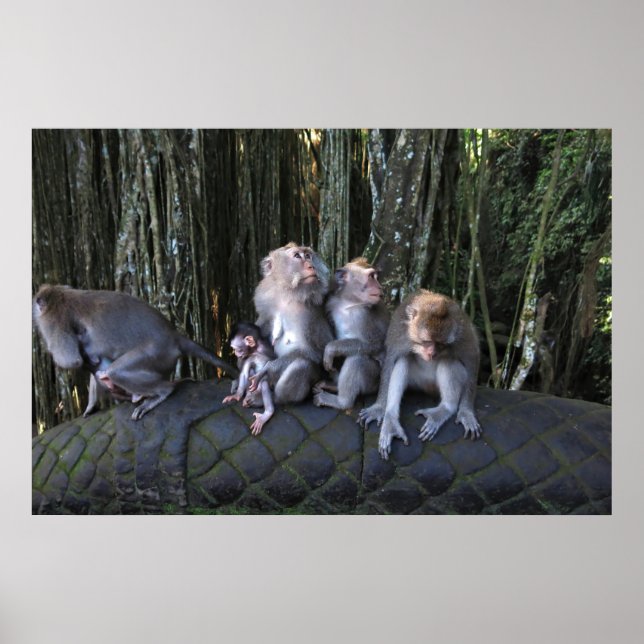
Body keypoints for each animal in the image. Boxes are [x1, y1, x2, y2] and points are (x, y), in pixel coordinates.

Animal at [33, 284, 238, 420]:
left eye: (38, 303)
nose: (34, 308)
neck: (60, 293)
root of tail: (174, 336)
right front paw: (90, 406)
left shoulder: (54, 320)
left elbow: (72, 360)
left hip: (158, 353)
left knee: (116, 371)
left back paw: (162, 391)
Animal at [249, 243, 333, 404]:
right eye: (297, 256)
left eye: (308, 256)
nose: (311, 266)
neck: (288, 293)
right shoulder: (264, 295)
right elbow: (262, 325)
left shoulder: (308, 314)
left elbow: (316, 352)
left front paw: (268, 368)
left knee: (302, 365)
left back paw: (273, 398)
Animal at [312, 258, 390, 410]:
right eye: (371, 277)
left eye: (376, 277)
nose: (380, 287)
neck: (348, 303)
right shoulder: (331, 301)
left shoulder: (364, 316)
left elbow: (374, 344)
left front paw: (331, 349)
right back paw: (334, 386)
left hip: (372, 381)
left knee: (357, 359)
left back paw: (341, 402)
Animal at [358, 289, 481, 460]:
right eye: (427, 341)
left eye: (440, 344)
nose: (432, 353)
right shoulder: (399, 331)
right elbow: (391, 360)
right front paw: (379, 408)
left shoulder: (462, 332)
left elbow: (471, 358)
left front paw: (466, 412)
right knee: (403, 359)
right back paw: (391, 420)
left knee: (448, 361)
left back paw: (445, 409)